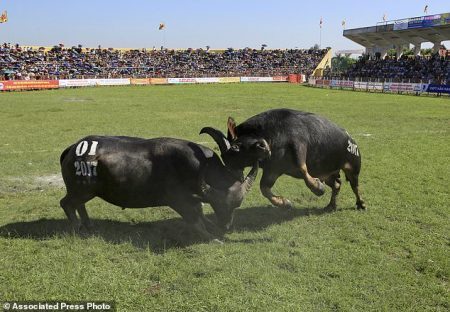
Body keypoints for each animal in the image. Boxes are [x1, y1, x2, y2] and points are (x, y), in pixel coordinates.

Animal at [59, 135, 270, 240]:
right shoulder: (179, 201)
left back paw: (88, 224)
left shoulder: (194, 200)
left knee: (79, 205)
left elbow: (201, 215)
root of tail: (73, 148)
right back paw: (77, 228)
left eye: (236, 205)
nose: (225, 225)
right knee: (66, 203)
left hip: (85, 192)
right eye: (219, 205)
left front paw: (212, 227)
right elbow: (195, 222)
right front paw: (213, 237)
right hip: (81, 191)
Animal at [202, 108, 368, 211]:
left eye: (236, 147)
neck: (271, 135)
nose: (262, 147)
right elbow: (264, 189)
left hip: (353, 167)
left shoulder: (299, 145)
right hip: (328, 173)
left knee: (355, 186)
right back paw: (331, 205)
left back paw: (361, 204)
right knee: (337, 184)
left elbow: (302, 168)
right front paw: (285, 203)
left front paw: (317, 188)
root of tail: (350, 138)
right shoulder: (273, 170)